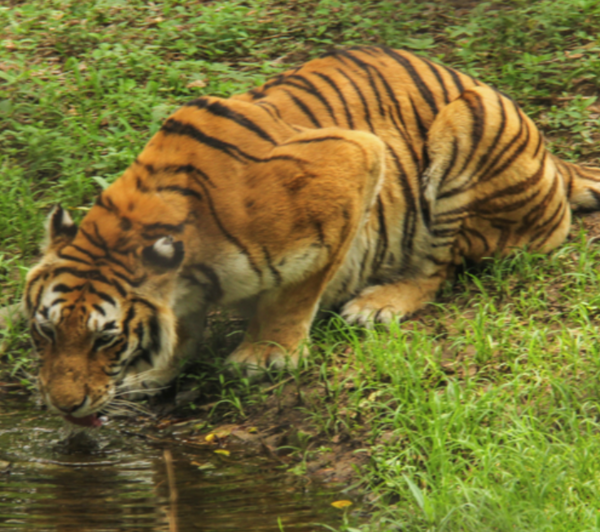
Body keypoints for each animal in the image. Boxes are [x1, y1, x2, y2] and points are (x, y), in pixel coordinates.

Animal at [24, 46, 600, 428]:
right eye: (45, 331)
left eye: (105, 338)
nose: (63, 405)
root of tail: (552, 157)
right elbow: (183, 324)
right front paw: (159, 369)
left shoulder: (353, 160)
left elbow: (297, 290)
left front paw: (267, 355)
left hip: (467, 129)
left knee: (439, 268)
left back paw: (378, 304)